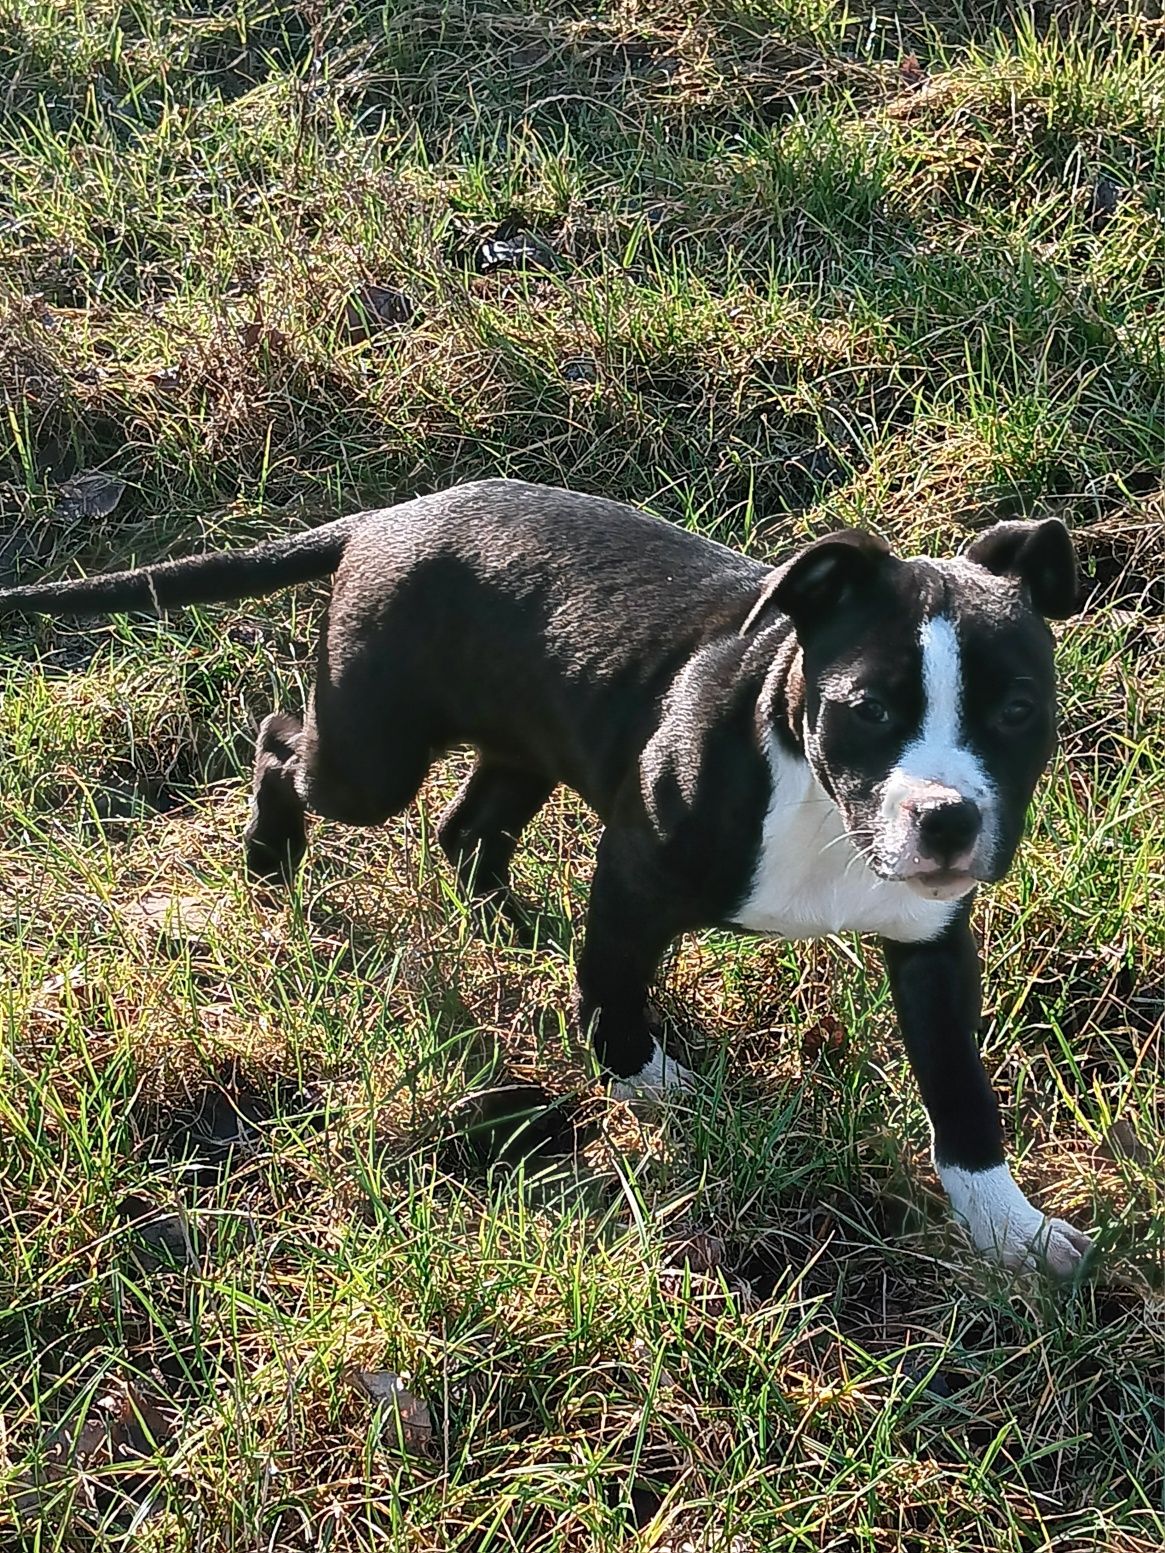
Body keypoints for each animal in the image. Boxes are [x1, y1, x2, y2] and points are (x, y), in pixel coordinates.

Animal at [0, 475, 1093, 1273]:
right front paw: (646, 1081)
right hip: (368, 755)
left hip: (516, 743)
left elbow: (961, 1095)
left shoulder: (931, 947)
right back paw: (271, 864)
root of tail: (383, 518)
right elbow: (610, 987)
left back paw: (504, 925)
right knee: (282, 742)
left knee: (466, 831)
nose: (946, 818)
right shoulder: (634, 873)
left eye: (1017, 710)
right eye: (867, 708)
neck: (821, 804)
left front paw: (1009, 1227)